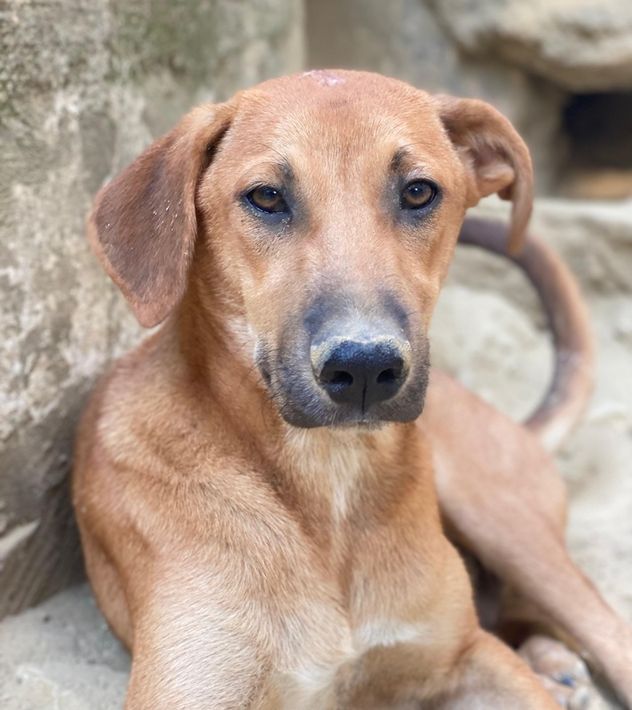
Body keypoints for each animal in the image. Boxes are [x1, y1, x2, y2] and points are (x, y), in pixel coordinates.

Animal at [73, 70, 632, 708]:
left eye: (418, 192)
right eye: (267, 197)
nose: (365, 367)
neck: (329, 484)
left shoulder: (467, 654)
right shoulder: (190, 689)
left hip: (499, 515)